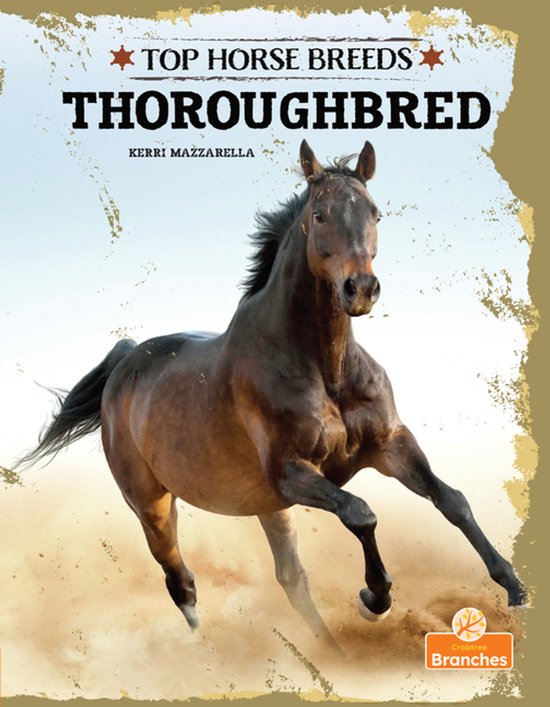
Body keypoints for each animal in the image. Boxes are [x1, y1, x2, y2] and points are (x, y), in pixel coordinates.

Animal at [20, 140, 524, 648]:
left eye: (376, 213)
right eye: (319, 215)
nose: (361, 289)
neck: (325, 369)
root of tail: (125, 360)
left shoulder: (388, 445)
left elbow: (452, 500)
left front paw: (514, 586)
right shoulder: (290, 471)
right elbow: (361, 513)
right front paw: (374, 599)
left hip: (267, 507)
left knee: (291, 579)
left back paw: (331, 653)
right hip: (153, 506)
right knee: (181, 582)